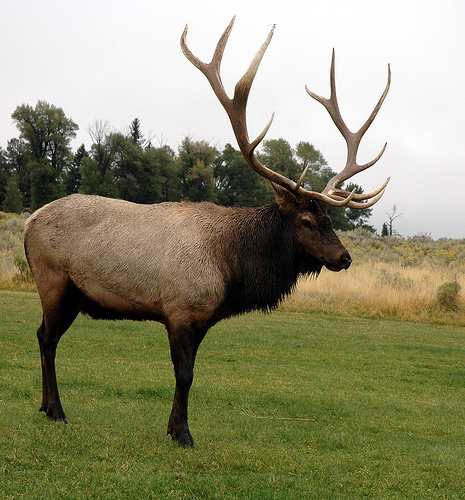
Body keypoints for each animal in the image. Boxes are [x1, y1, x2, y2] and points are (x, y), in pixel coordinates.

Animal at [23, 18, 390, 450]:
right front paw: (183, 434)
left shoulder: (201, 320)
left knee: (42, 334)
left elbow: (189, 374)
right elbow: (185, 375)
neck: (231, 271)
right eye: (306, 220)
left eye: (329, 218)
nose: (344, 257)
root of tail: (28, 223)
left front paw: (171, 427)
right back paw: (57, 411)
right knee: (47, 338)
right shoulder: (180, 309)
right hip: (54, 281)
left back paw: (44, 406)